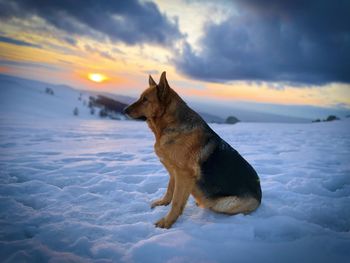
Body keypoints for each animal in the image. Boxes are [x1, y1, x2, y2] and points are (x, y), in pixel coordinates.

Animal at [124, 72, 262, 229]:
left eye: (145, 100)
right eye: (141, 98)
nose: (124, 110)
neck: (170, 124)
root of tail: (260, 195)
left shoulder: (183, 175)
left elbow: (177, 201)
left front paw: (167, 222)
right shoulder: (174, 172)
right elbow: (170, 190)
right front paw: (164, 203)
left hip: (224, 203)